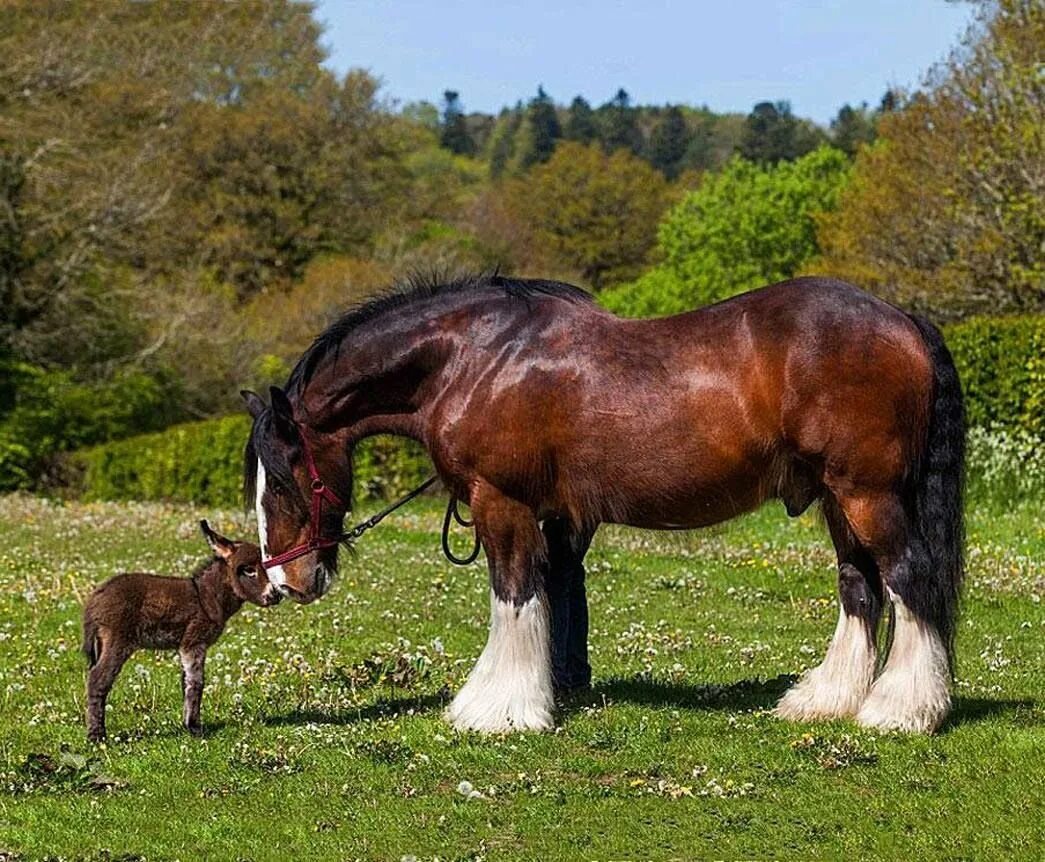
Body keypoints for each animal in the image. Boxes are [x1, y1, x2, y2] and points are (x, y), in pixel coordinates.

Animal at [242, 273, 961, 731]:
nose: (285, 580)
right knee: (859, 586)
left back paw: (900, 711)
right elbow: (553, 593)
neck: (473, 358)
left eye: (284, 478)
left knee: (907, 578)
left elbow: (514, 593)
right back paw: (827, 701)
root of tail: (901, 319)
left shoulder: (502, 502)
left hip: (866, 493)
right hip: (836, 499)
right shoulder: (556, 517)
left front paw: (497, 709)